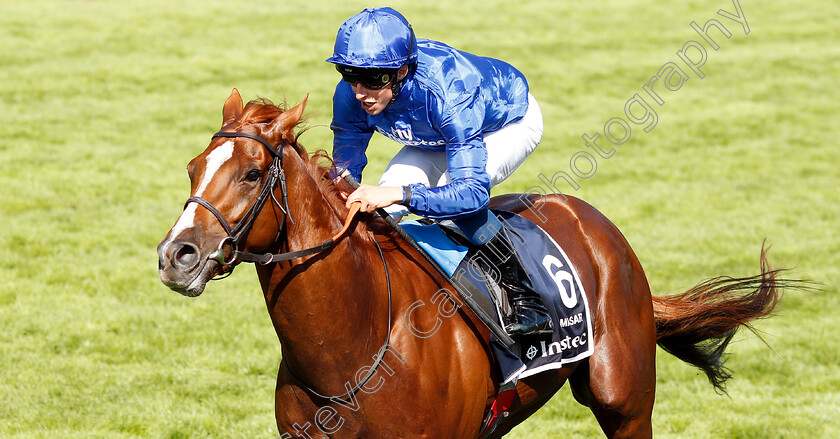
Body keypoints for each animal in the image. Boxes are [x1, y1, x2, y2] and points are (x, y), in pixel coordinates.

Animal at [159, 90, 796, 439]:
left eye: (250, 173)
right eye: (192, 167)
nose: (176, 255)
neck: (353, 349)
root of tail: (598, 223)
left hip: (625, 400)